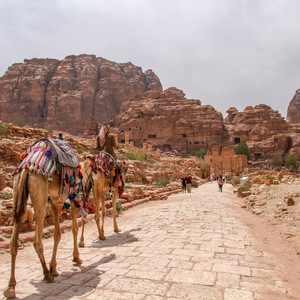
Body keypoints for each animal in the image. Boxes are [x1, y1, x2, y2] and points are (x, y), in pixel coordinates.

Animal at [3, 142, 83, 298]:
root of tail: (26, 170)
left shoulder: (55, 202)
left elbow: (57, 234)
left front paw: (54, 267)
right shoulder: (70, 198)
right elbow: (74, 228)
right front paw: (76, 258)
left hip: (18, 191)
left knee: (14, 238)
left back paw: (10, 287)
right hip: (39, 193)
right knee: (37, 239)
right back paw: (46, 275)